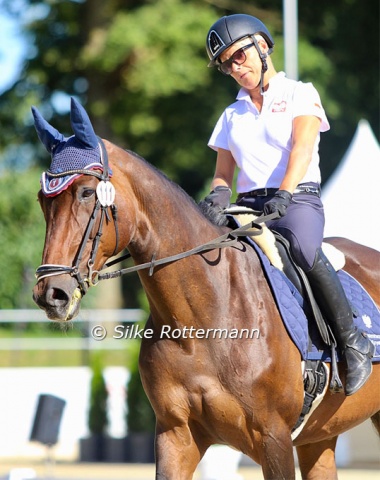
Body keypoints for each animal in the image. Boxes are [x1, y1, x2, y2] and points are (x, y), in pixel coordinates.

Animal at [31, 98, 378, 480]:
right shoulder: (176, 434)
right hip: (320, 437)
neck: (203, 319)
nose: (51, 294)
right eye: (43, 200)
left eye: (86, 192)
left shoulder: (274, 437)